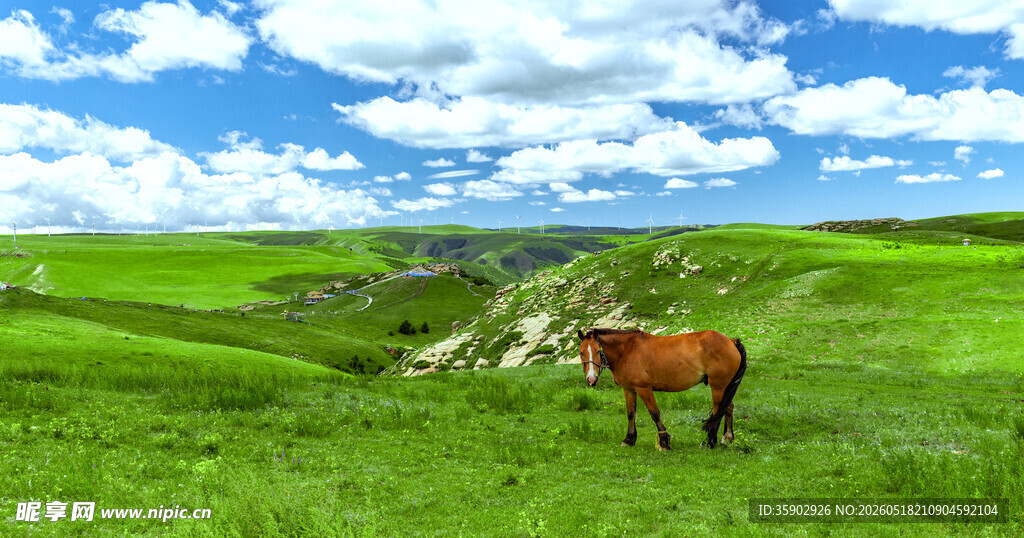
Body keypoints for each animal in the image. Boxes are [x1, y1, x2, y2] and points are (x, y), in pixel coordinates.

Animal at [577, 328, 747, 450]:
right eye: (581, 352)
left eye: (598, 351)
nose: (591, 379)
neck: (626, 351)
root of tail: (731, 341)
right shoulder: (629, 389)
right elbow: (631, 414)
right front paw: (629, 439)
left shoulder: (643, 388)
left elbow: (654, 413)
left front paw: (664, 442)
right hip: (725, 387)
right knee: (728, 407)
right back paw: (727, 439)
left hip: (718, 386)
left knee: (718, 411)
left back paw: (709, 442)